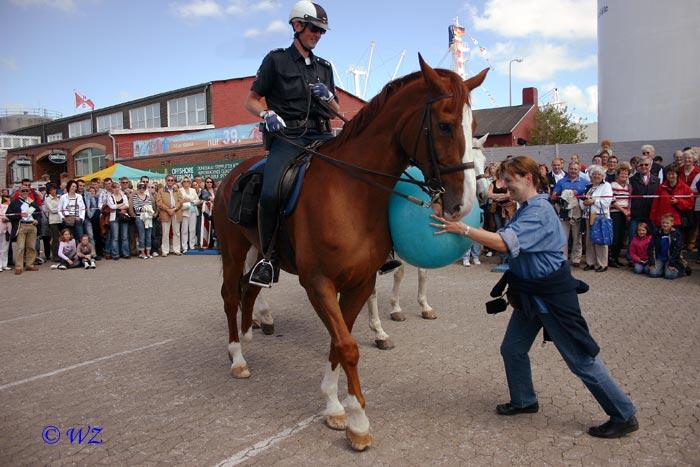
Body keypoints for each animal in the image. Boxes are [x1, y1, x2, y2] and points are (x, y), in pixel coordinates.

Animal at [213, 56, 486, 452]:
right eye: (445, 125)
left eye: (473, 127)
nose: (463, 204)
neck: (350, 192)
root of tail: (233, 173)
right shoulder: (318, 283)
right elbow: (347, 345)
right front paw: (357, 420)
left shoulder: (360, 281)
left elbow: (338, 343)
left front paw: (334, 405)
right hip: (233, 252)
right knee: (231, 296)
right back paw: (236, 356)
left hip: (261, 252)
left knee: (251, 288)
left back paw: (252, 331)